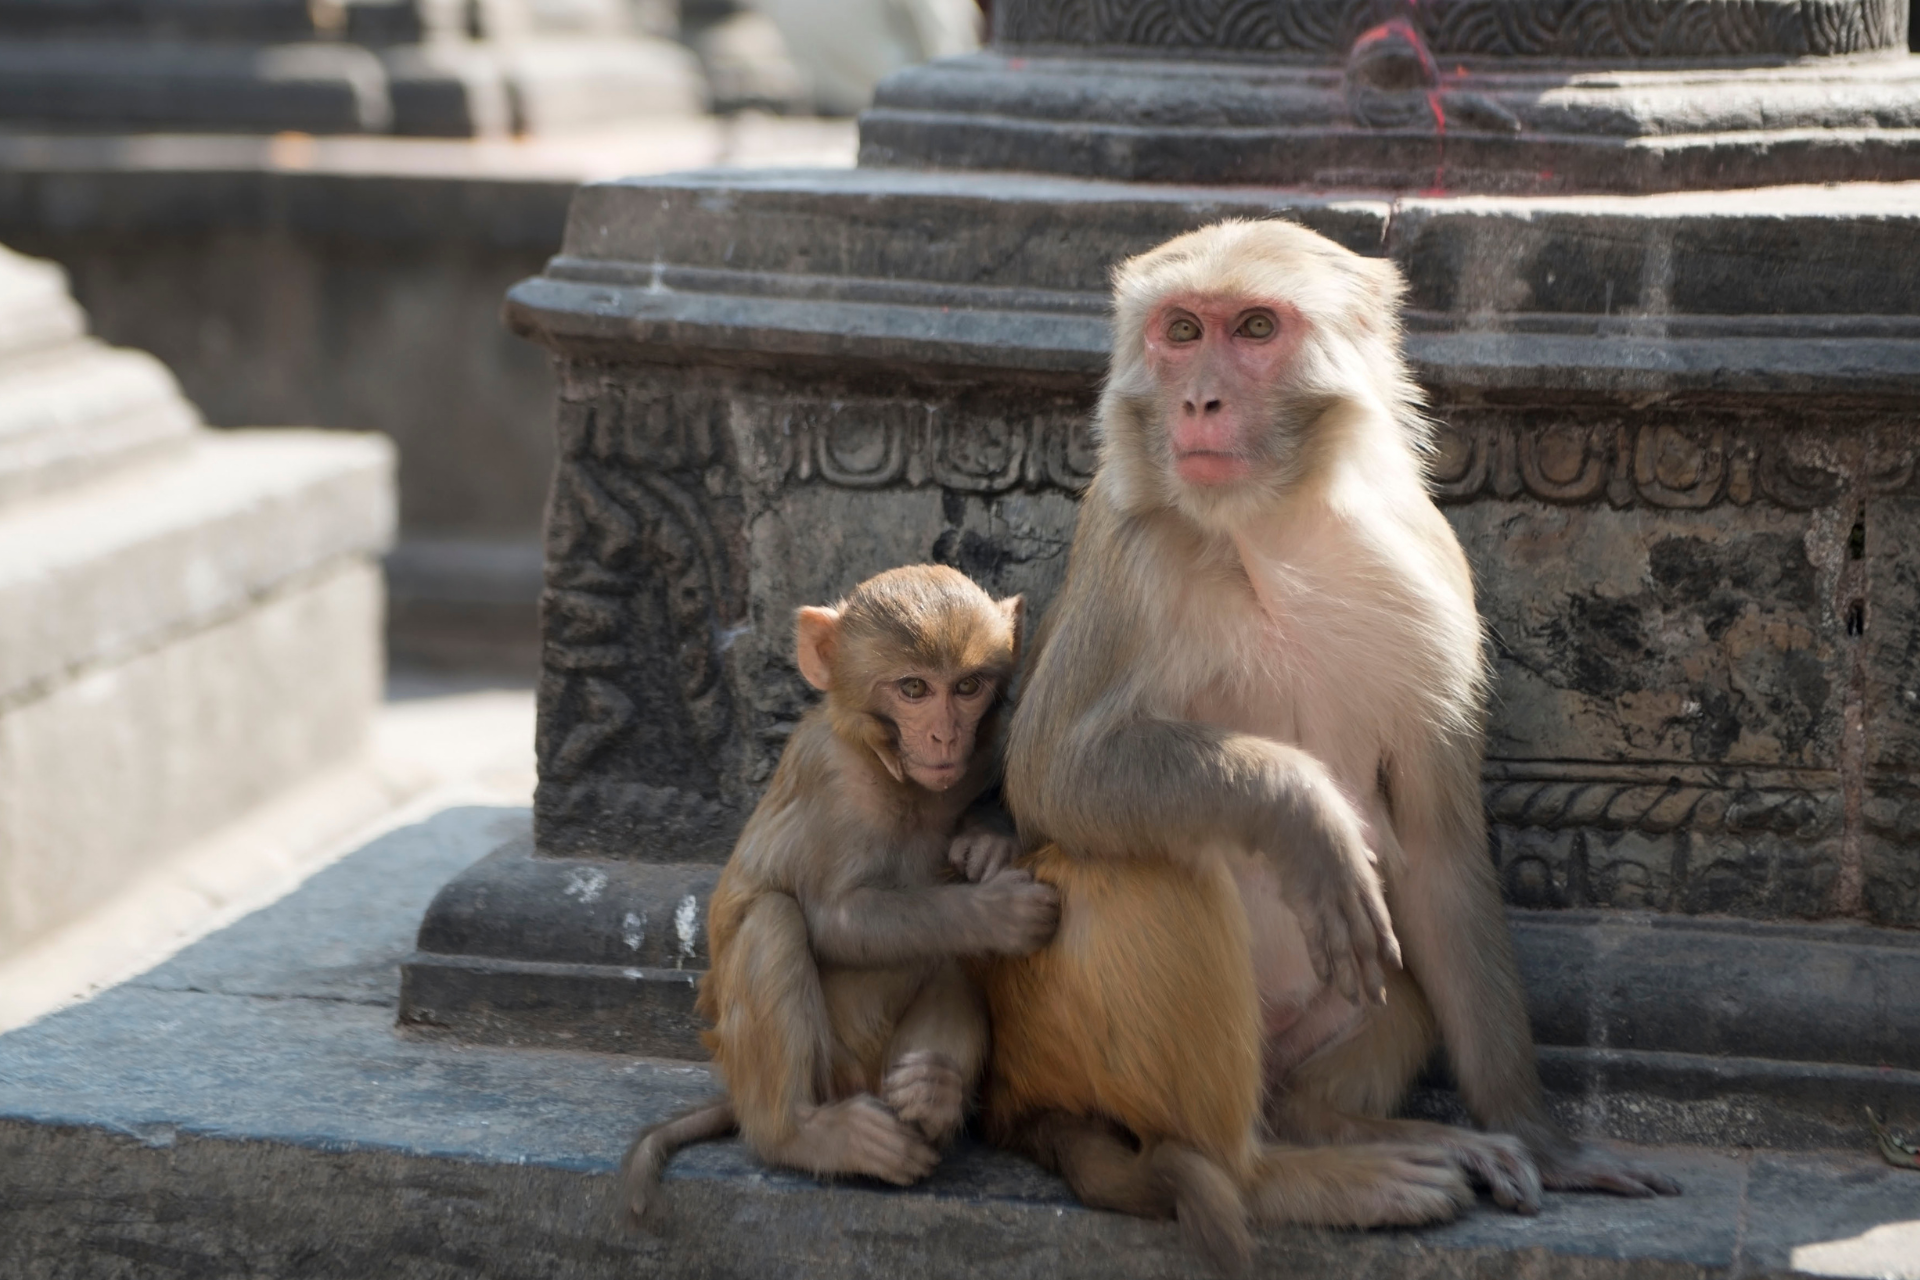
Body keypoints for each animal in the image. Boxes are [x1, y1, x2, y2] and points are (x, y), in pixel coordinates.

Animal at [622, 564, 1059, 1220]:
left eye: (967, 687)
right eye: (913, 689)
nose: (944, 736)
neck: (892, 772)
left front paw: (989, 838)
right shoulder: (833, 778)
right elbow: (833, 920)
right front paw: (995, 912)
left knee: (950, 963)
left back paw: (933, 1097)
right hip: (817, 1071)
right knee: (775, 920)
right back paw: (804, 1134)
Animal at [990, 220, 1681, 1274]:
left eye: (1256, 328)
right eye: (1182, 331)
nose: (1199, 400)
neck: (1273, 532)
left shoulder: (1430, 567)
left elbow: (1438, 852)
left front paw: (1542, 1136)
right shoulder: (1128, 545)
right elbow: (1050, 776)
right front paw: (1299, 809)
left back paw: (1358, 1131)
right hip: (1056, 1037)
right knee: (1141, 873)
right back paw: (1288, 1178)